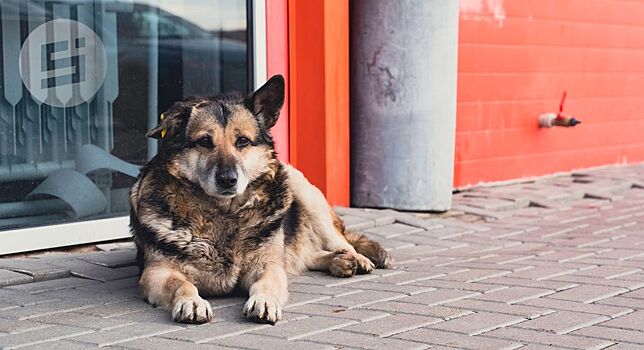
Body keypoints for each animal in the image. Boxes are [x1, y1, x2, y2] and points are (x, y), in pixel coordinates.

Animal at [128, 76, 392, 326]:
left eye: (243, 141)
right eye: (204, 141)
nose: (228, 180)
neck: (223, 214)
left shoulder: (268, 267)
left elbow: (266, 284)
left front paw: (263, 301)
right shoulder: (157, 273)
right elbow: (182, 285)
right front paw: (191, 302)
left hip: (305, 194)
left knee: (340, 242)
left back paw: (355, 258)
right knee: (304, 257)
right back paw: (336, 261)